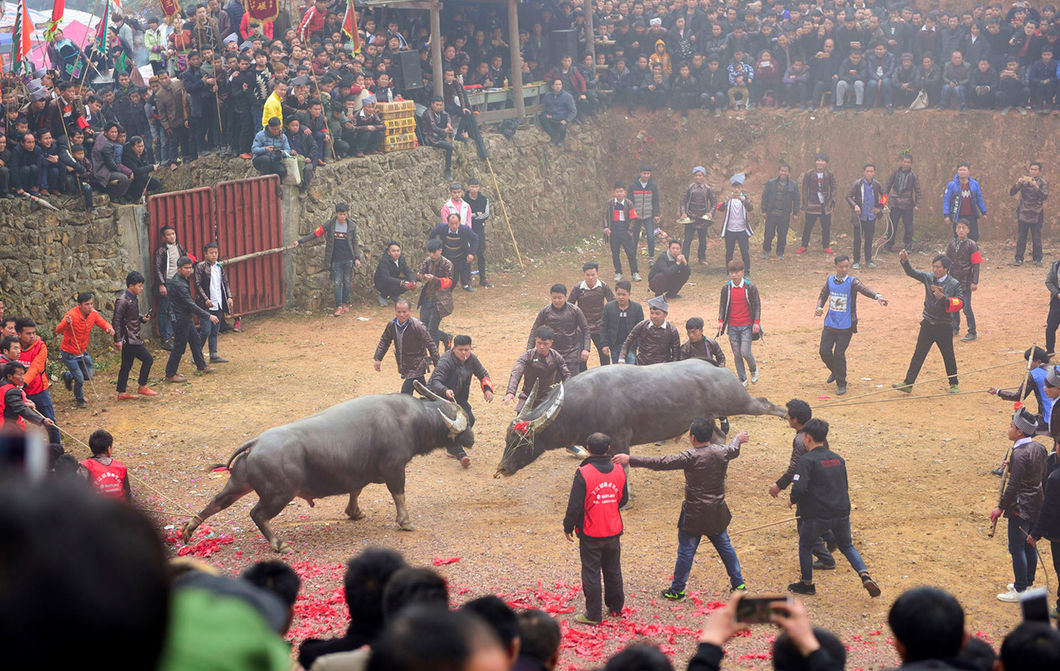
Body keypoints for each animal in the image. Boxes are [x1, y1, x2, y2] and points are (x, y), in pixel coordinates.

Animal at [184, 379, 474, 551]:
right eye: (464, 426)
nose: (471, 438)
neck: (409, 419)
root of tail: (256, 443)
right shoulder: (395, 469)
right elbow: (399, 495)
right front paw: (406, 522)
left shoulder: (358, 471)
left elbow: (356, 490)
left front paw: (354, 512)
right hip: (278, 495)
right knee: (257, 514)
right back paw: (280, 544)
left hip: (239, 483)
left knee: (216, 502)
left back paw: (188, 529)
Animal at [496, 356, 788, 477]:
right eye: (507, 440)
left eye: (520, 442)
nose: (502, 469)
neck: (585, 402)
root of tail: (717, 368)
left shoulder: (621, 439)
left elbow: (623, 467)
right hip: (706, 419)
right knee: (718, 436)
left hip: (740, 402)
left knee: (765, 405)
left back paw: (788, 416)